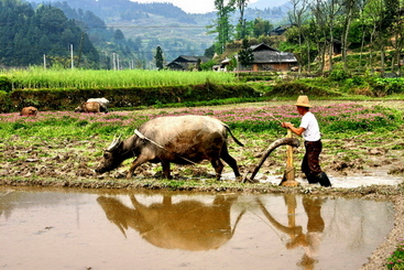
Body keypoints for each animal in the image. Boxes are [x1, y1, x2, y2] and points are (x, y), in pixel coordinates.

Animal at [95, 115, 243, 180]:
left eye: (106, 155)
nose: (97, 169)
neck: (140, 139)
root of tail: (221, 124)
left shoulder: (146, 155)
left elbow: (133, 164)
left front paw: (128, 176)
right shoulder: (164, 159)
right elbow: (166, 171)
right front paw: (168, 178)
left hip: (212, 155)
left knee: (219, 166)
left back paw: (217, 179)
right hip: (223, 150)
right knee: (232, 161)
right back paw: (238, 176)